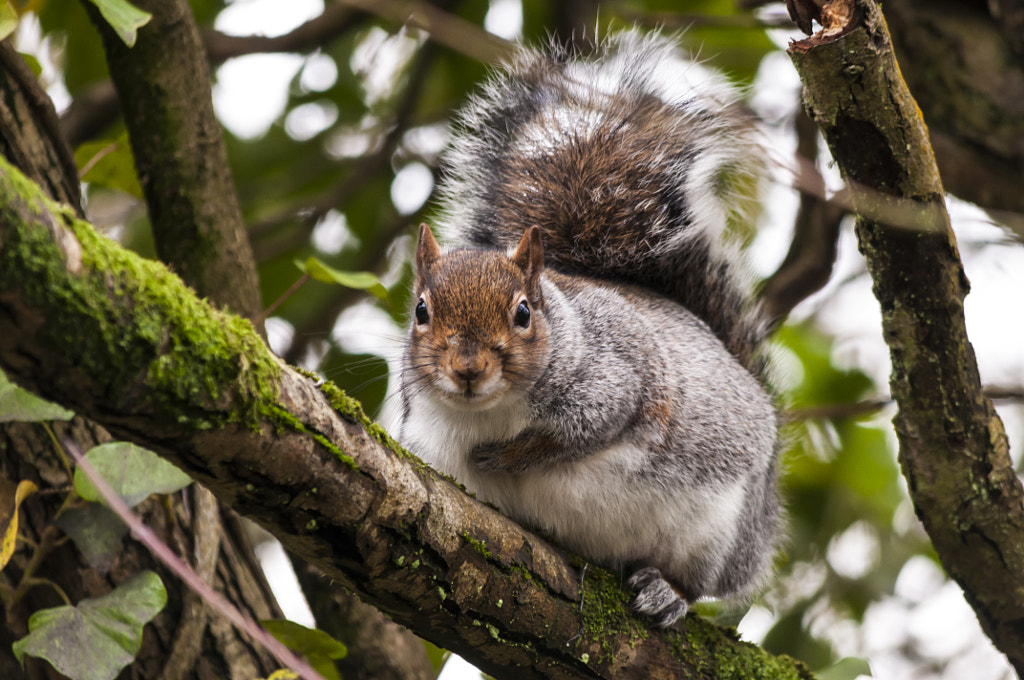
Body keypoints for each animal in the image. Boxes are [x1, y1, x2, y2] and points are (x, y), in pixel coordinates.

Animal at [395, 30, 778, 626]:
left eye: (524, 312)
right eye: (420, 312)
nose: (467, 369)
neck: (489, 413)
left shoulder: (617, 376)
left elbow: (583, 429)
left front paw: (508, 456)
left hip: (722, 534)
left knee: (703, 584)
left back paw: (670, 593)